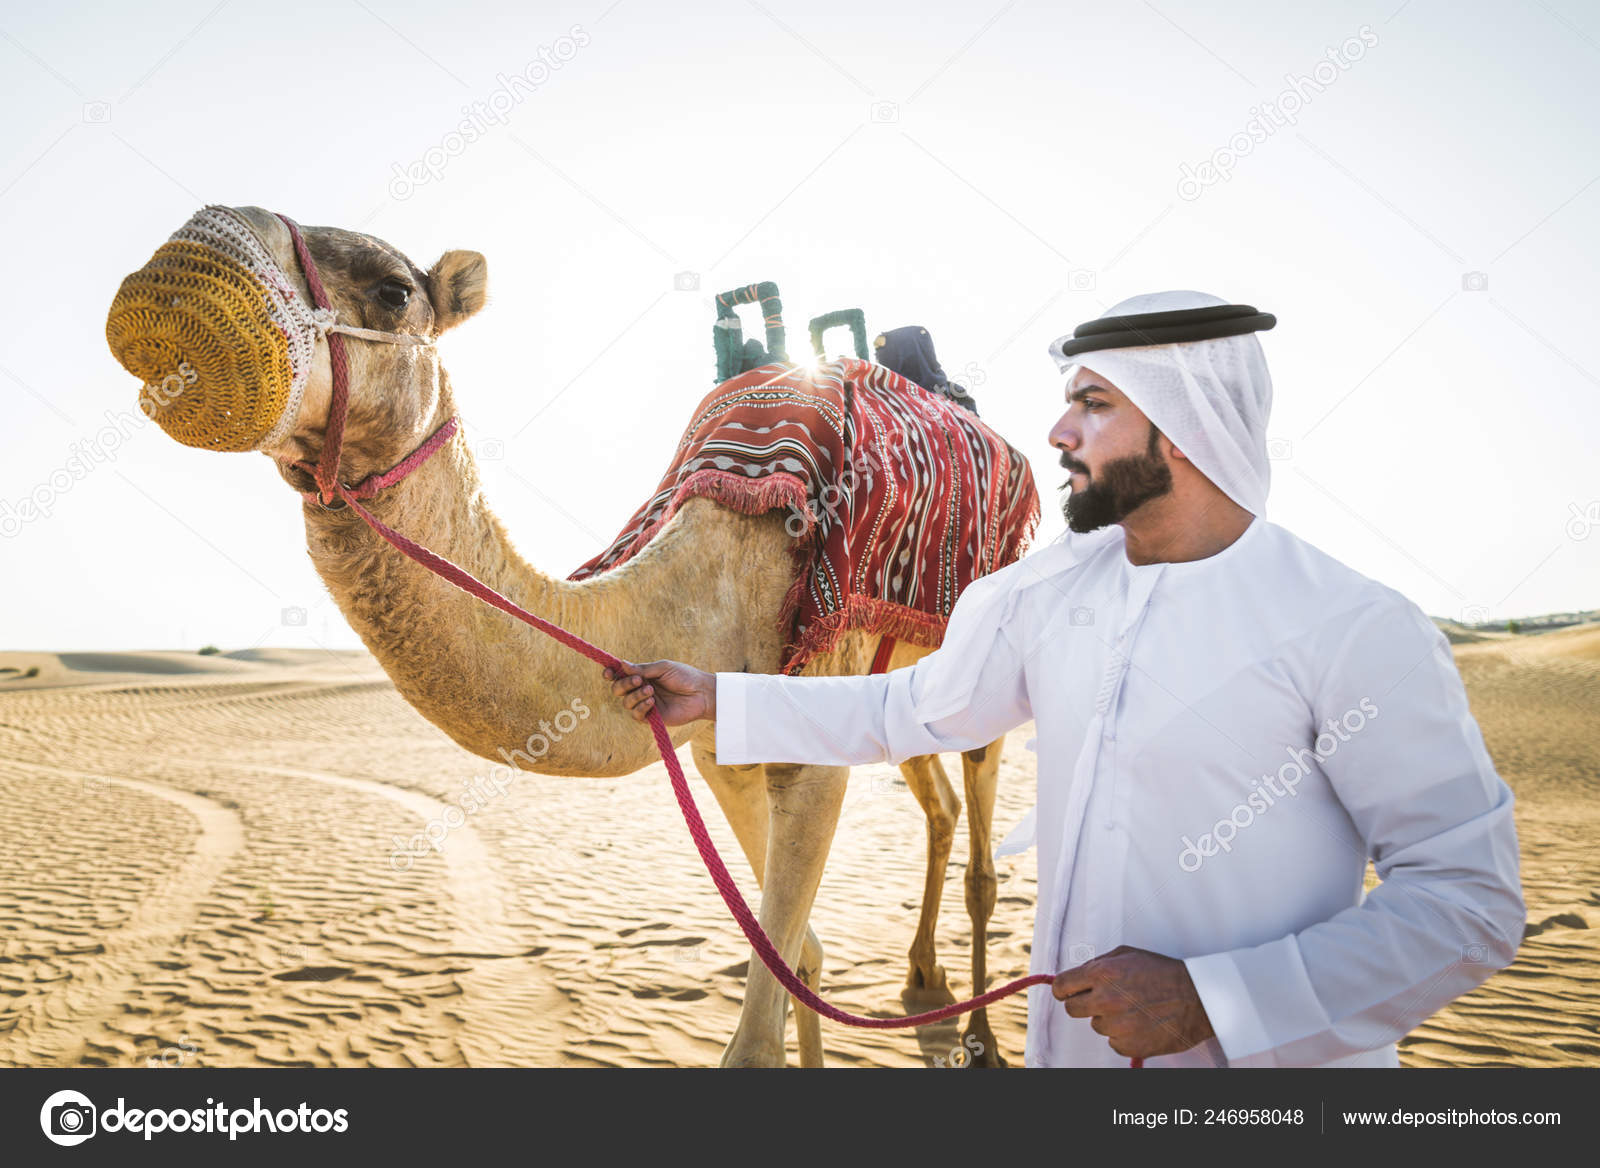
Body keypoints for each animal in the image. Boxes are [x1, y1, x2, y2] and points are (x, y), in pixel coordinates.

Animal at [108, 206, 1026, 1068]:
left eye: (394, 291)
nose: (191, 253)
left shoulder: (807, 742)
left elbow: (763, 1022)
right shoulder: (716, 747)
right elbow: (801, 955)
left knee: (981, 849)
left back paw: (981, 1033)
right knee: (938, 804)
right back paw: (922, 976)